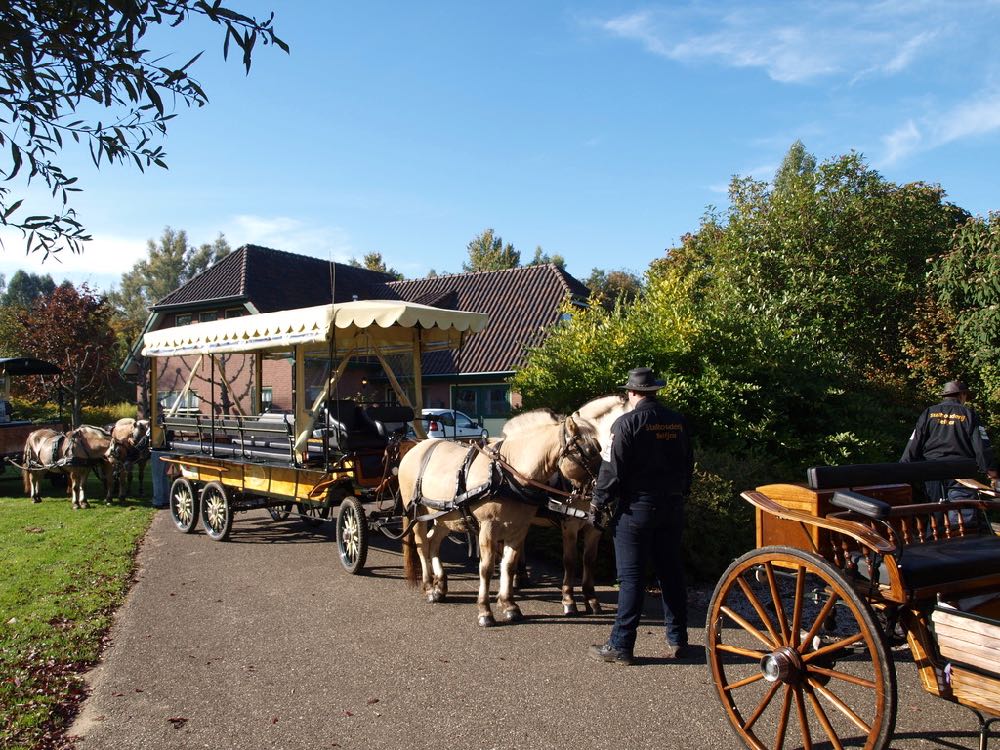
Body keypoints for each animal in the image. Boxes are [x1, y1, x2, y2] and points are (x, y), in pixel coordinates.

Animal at [398, 412, 600, 628]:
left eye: (600, 447)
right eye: (589, 451)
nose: (602, 490)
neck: (508, 474)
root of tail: (415, 448)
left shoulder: (519, 528)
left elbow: (508, 565)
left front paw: (509, 605)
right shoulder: (489, 527)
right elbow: (486, 569)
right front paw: (485, 610)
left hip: (445, 516)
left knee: (433, 541)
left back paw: (440, 585)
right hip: (418, 513)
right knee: (421, 544)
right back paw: (429, 586)